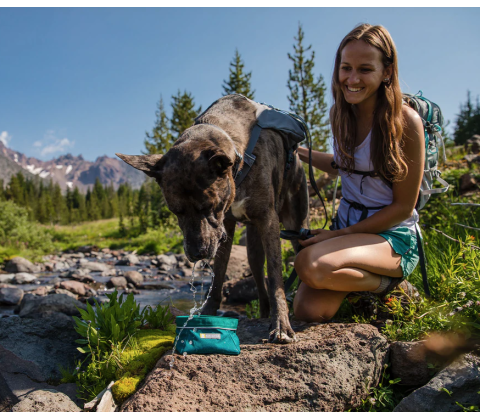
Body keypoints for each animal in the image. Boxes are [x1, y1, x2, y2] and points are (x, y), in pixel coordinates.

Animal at [118, 94, 310, 342]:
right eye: (176, 211)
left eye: (210, 206)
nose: (197, 252)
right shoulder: (225, 226)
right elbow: (218, 274)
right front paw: (207, 313)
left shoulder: (267, 220)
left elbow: (276, 274)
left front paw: (281, 325)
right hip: (252, 243)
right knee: (258, 273)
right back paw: (263, 313)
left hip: (296, 223)